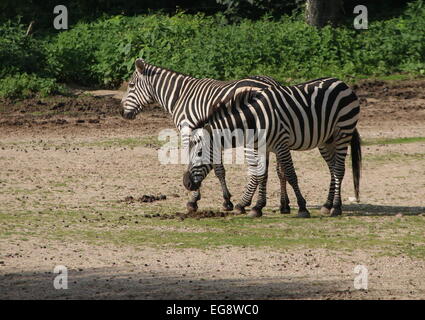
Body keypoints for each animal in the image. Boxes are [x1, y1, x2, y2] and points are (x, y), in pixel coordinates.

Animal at [120, 60, 292, 214]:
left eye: (131, 85)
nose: (121, 112)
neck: (179, 96)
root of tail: (272, 83)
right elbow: (218, 168)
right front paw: (226, 200)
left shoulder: (190, 132)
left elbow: (200, 163)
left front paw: (195, 199)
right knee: (278, 169)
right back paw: (283, 205)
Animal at [182, 77, 362, 218]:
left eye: (199, 153)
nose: (186, 183)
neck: (253, 121)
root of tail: (340, 82)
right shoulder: (259, 147)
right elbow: (261, 175)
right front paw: (257, 207)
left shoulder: (281, 144)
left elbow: (290, 174)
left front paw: (302, 207)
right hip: (326, 140)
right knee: (332, 169)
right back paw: (327, 205)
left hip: (343, 132)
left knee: (339, 169)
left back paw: (336, 207)